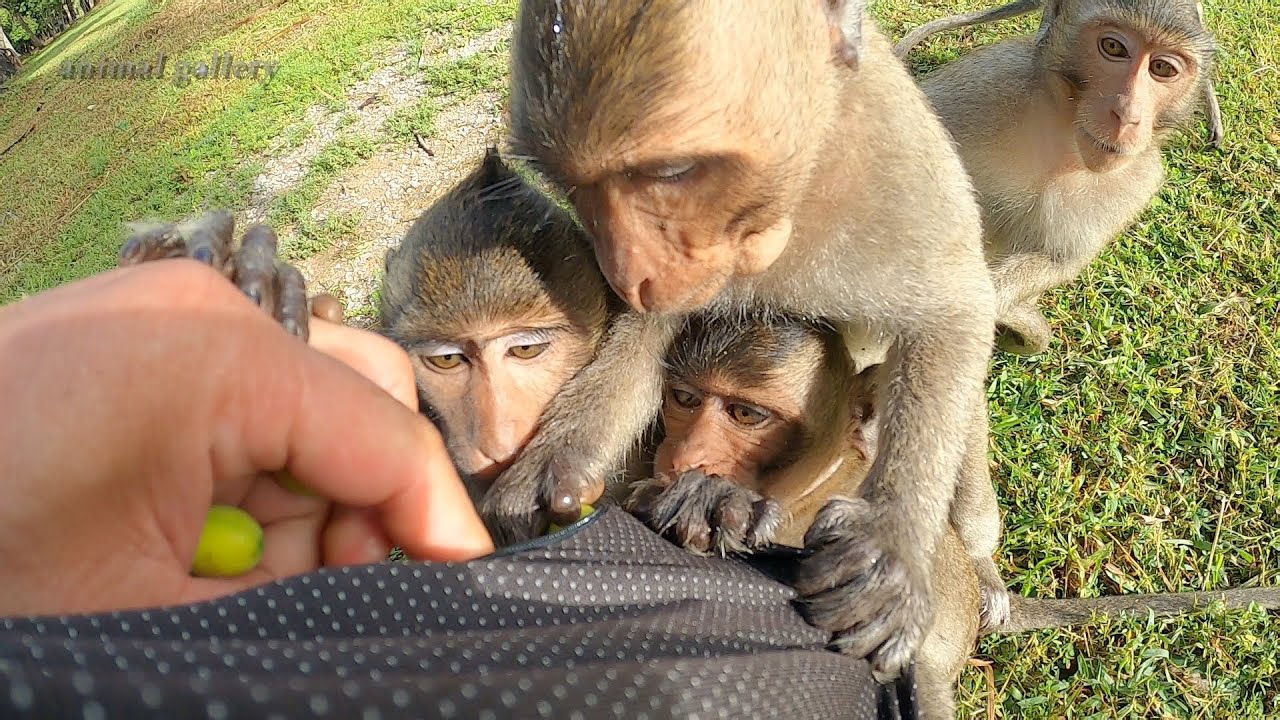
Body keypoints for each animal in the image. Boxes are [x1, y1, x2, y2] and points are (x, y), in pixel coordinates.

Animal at [495, 0, 1004, 681]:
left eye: (670, 174)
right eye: (576, 188)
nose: (628, 272)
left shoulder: (899, 169)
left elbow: (956, 313)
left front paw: (893, 538)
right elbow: (646, 339)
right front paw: (558, 460)